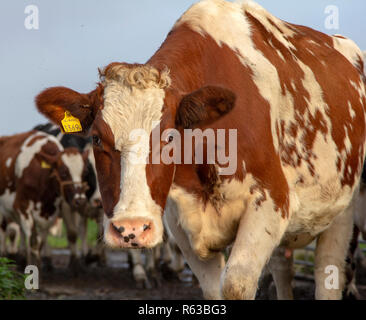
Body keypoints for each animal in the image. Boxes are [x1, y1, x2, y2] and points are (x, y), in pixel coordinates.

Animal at [35, 0, 366, 300]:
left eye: (170, 137)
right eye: (96, 139)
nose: (131, 229)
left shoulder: (271, 201)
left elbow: (235, 285)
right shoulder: (178, 222)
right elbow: (213, 289)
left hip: (343, 207)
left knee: (328, 270)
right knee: (282, 269)